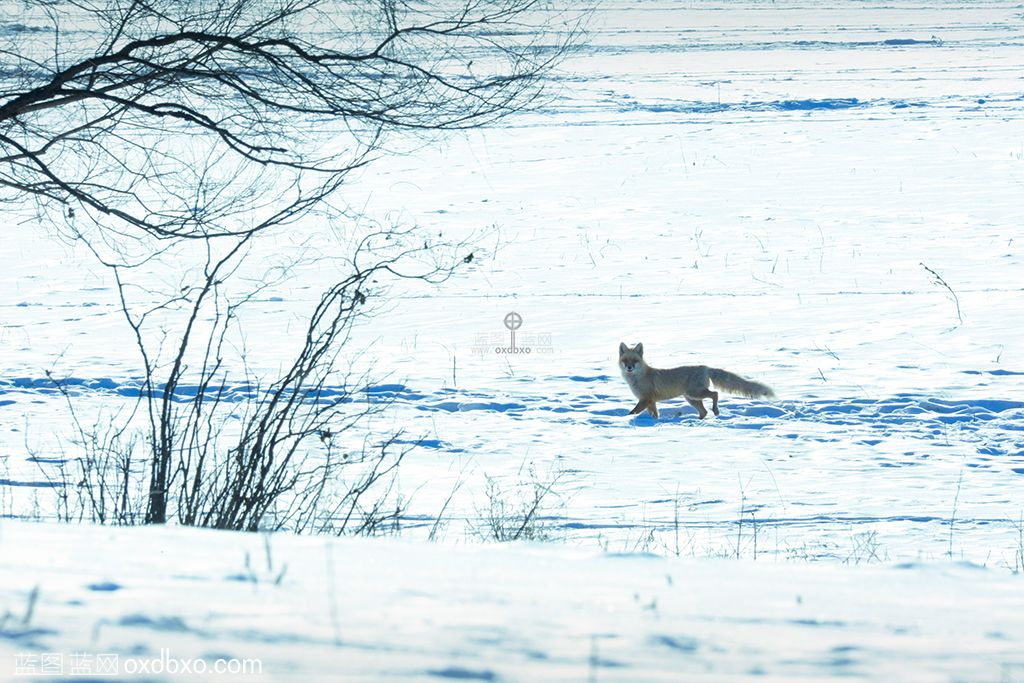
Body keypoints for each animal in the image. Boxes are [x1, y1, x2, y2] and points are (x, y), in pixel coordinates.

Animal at [614, 344, 774, 419]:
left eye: (634, 361)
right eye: (625, 360)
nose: (629, 367)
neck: (639, 377)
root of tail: (705, 367)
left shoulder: (645, 399)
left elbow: (631, 412)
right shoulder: (651, 401)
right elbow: (655, 415)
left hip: (695, 393)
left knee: (715, 394)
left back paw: (716, 410)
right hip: (692, 398)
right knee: (704, 411)